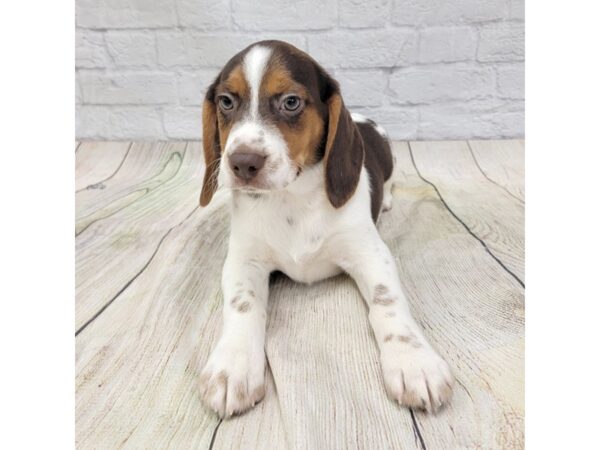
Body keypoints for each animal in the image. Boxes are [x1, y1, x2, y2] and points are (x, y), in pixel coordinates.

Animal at [199, 40, 452, 416]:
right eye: (226, 102)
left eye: (291, 102)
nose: (242, 163)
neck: (292, 198)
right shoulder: (244, 260)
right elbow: (243, 304)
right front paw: (233, 365)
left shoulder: (370, 254)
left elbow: (386, 300)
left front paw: (413, 361)